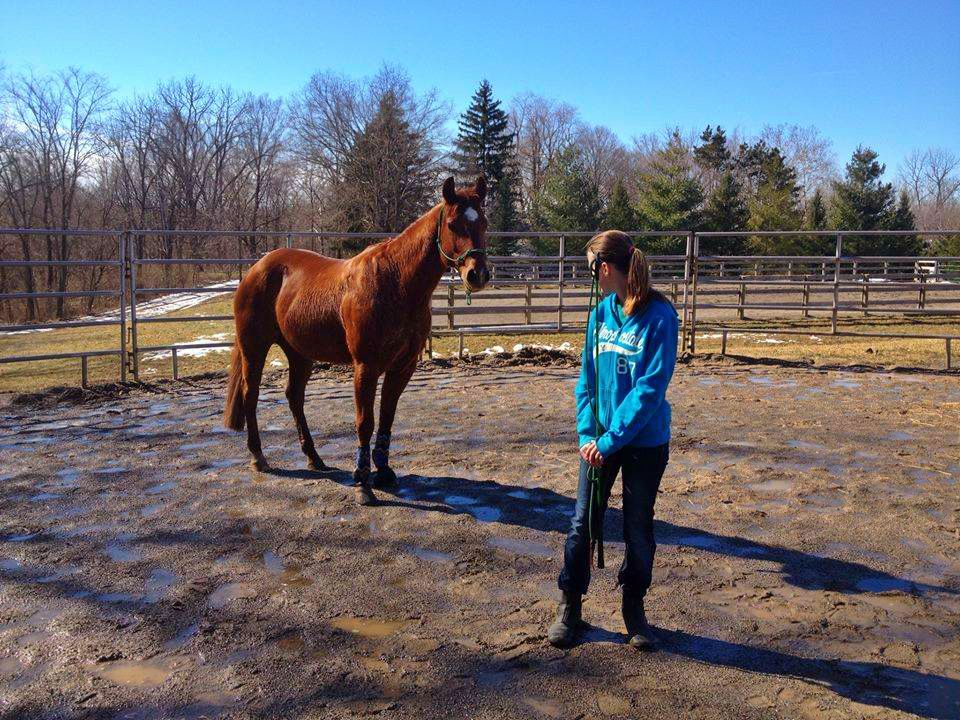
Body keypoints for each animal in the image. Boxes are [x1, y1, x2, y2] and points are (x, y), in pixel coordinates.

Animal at [223, 176, 490, 505]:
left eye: (484, 222)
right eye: (453, 224)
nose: (477, 274)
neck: (395, 282)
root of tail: (255, 269)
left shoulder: (403, 366)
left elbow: (387, 416)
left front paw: (384, 472)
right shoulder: (365, 366)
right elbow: (365, 422)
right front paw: (363, 483)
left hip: (299, 353)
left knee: (294, 396)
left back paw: (314, 458)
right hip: (254, 347)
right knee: (250, 394)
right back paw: (259, 457)